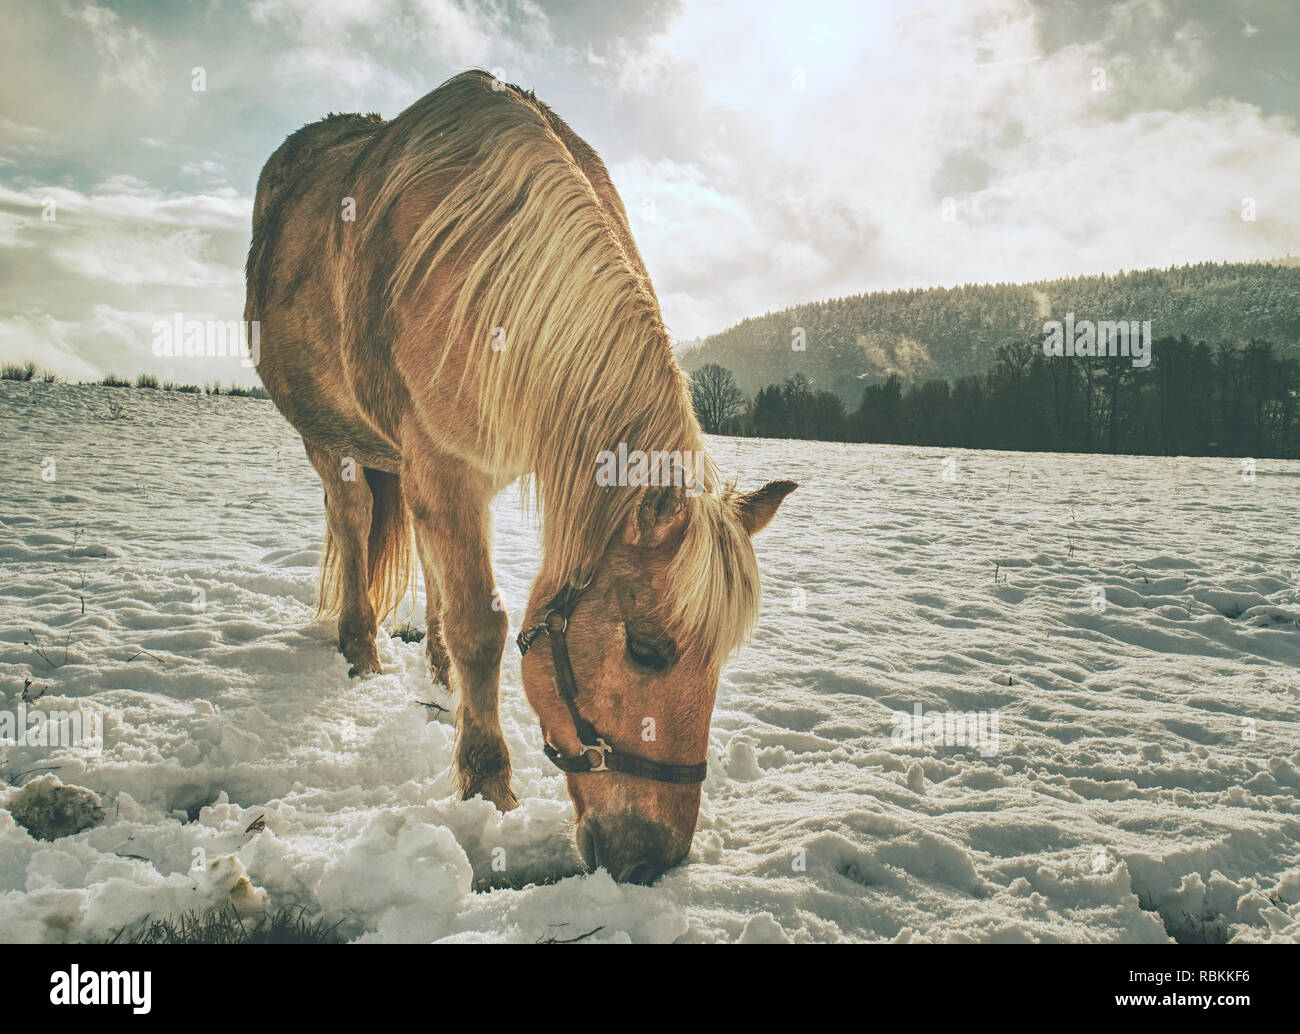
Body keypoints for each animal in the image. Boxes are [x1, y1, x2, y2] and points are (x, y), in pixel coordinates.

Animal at [245, 69, 795, 884]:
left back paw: (435, 674)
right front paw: (488, 783)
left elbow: (463, 597)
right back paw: (361, 649)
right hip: (329, 440)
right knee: (352, 524)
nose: (654, 861)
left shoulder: (467, 472)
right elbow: (484, 623)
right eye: (647, 650)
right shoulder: (445, 466)